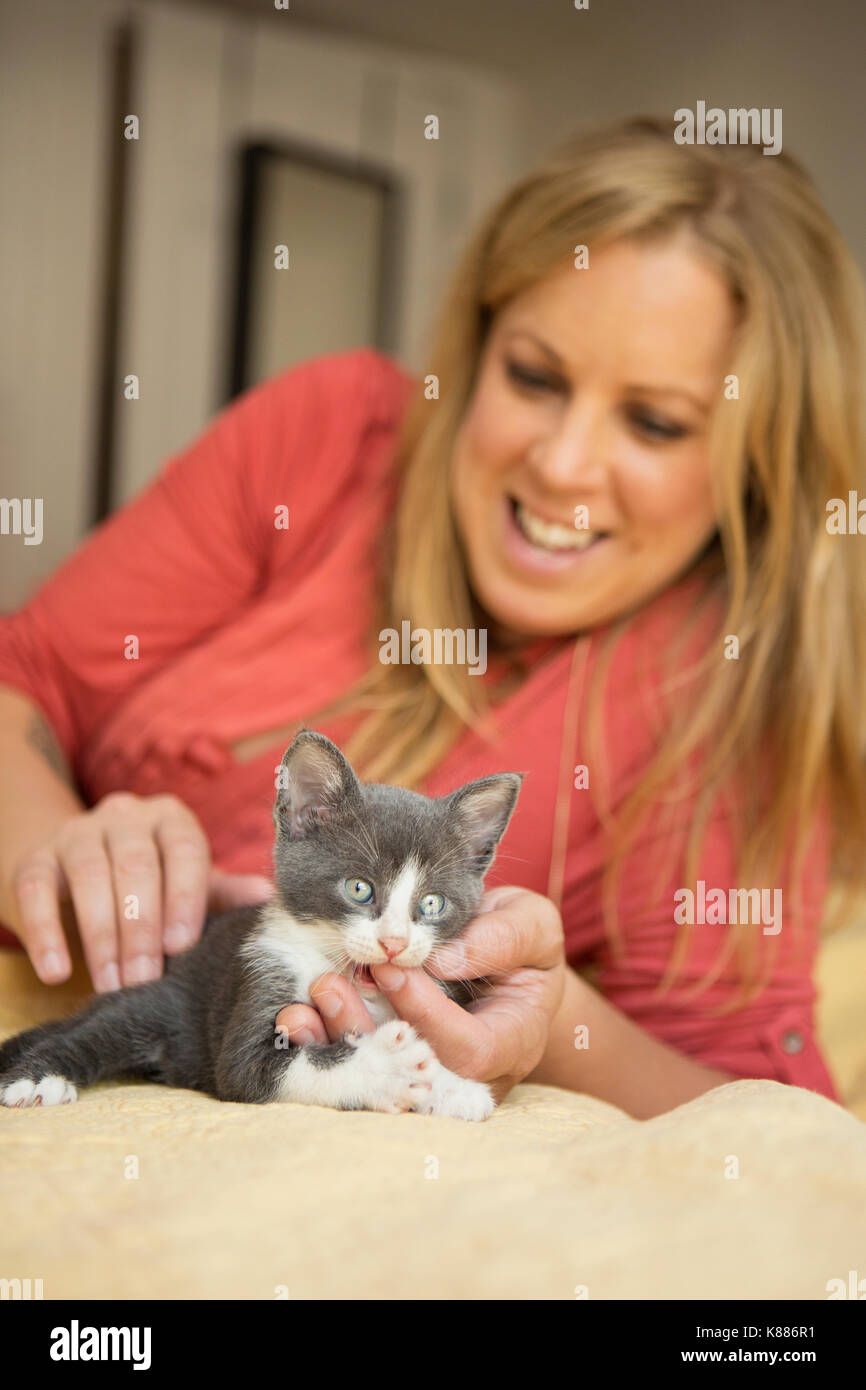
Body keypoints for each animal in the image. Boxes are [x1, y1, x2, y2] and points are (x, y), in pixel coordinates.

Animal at [0, 733, 522, 1123]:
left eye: (431, 903)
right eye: (359, 889)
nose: (393, 943)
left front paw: (451, 1086)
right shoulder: (262, 977)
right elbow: (271, 1068)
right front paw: (385, 1070)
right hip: (169, 1002)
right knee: (94, 1030)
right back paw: (36, 1075)